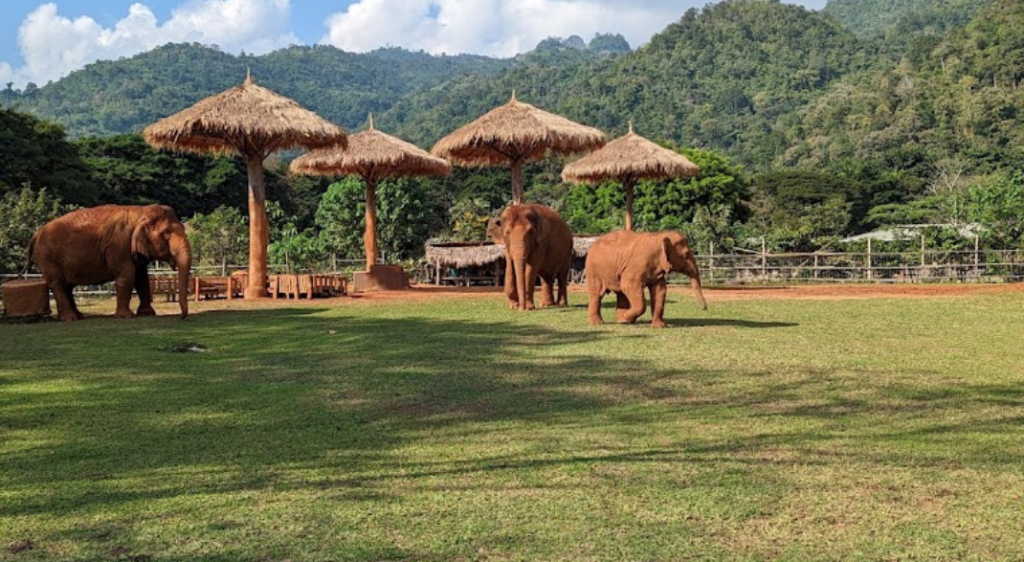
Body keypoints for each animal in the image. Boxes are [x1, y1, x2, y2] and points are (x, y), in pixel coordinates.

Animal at [29, 204, 192, 319]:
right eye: (166, 234)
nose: (182, 317)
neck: (141, 211)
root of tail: (36, 233)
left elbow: (142, 279)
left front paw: (147, 313)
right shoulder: (119, 246)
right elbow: (126, 276)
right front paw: (126, 316)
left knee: (67, 285)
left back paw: (78, 316)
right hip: (48, 258)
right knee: (58, 284)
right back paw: (70, 318)